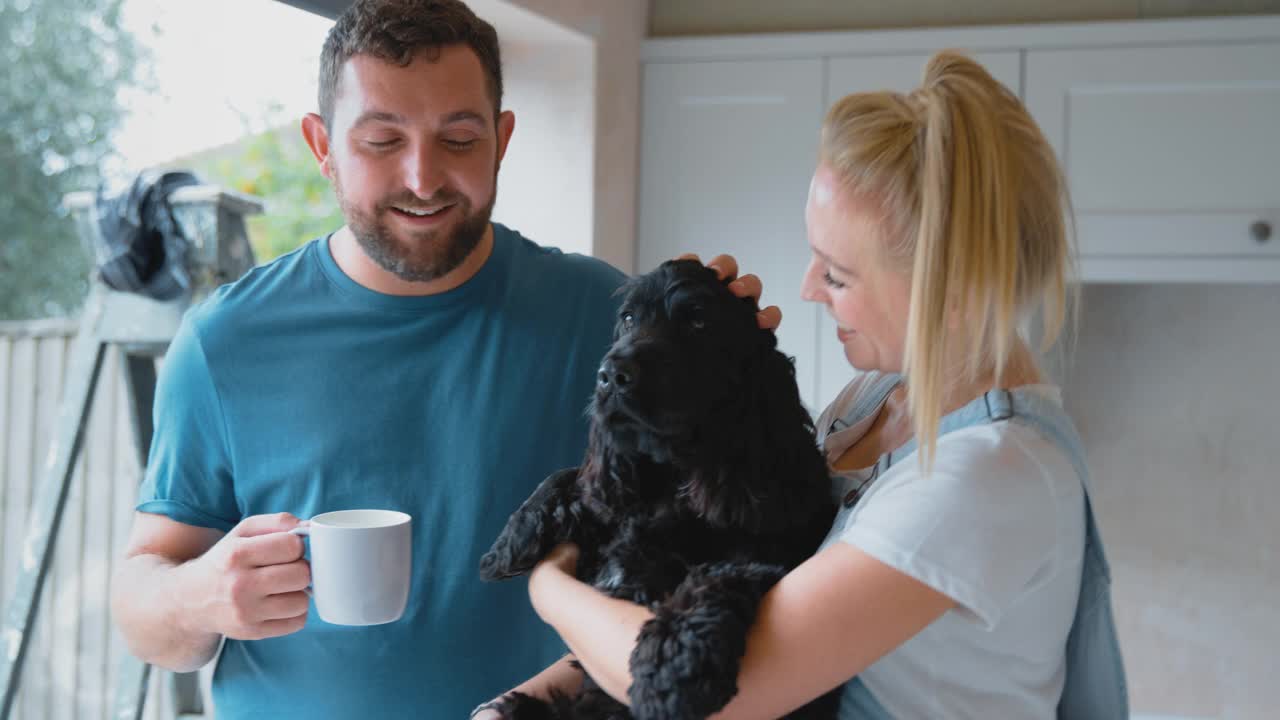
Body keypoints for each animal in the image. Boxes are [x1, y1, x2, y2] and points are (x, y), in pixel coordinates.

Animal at [481, 258, 839, 717]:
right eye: (628, 319)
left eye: (699, 321)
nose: (610, 375)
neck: (674, 477)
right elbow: (574, 479)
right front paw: (510, 540)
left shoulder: (775, 554)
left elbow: (719, 575)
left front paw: (671, 668)